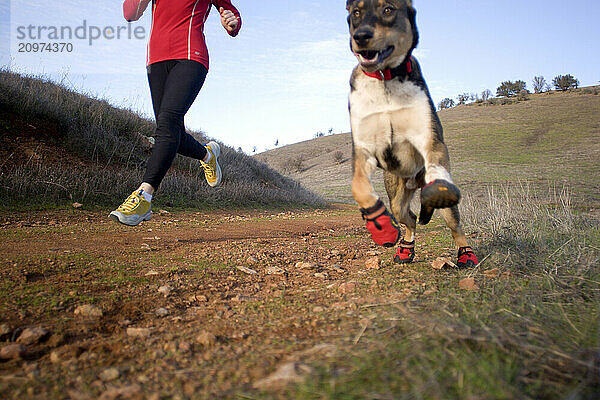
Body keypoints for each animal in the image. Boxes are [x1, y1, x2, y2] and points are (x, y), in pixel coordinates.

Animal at [346, 0, 478, 268]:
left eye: (388, 9)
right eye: (356, 12)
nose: (361, 36)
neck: (385, 79)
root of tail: (413, 181)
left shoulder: (430, 139)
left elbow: (438, 177)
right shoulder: (363, 148)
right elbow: (359, 188)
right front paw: (381, 225)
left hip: (445, 210)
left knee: (454, 226)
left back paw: (466, 254)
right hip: (397, 196)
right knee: (410, 217)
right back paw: (405, 249)